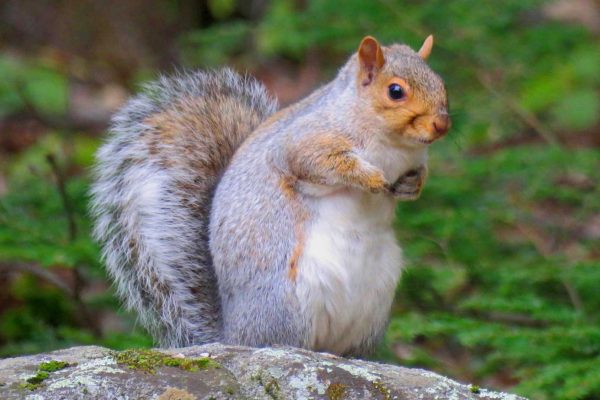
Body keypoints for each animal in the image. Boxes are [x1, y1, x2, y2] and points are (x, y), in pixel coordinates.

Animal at [92, 36, 450, 354]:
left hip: (373, 310)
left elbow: (417, 175)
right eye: (395, 91)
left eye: (441, 82)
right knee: (286, 344)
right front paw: (371, 177)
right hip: (289, 305)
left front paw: (410, 186)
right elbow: (318, 162)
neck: (394, 146)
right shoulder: (303, 141)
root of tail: (233, 336)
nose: (442, 126)